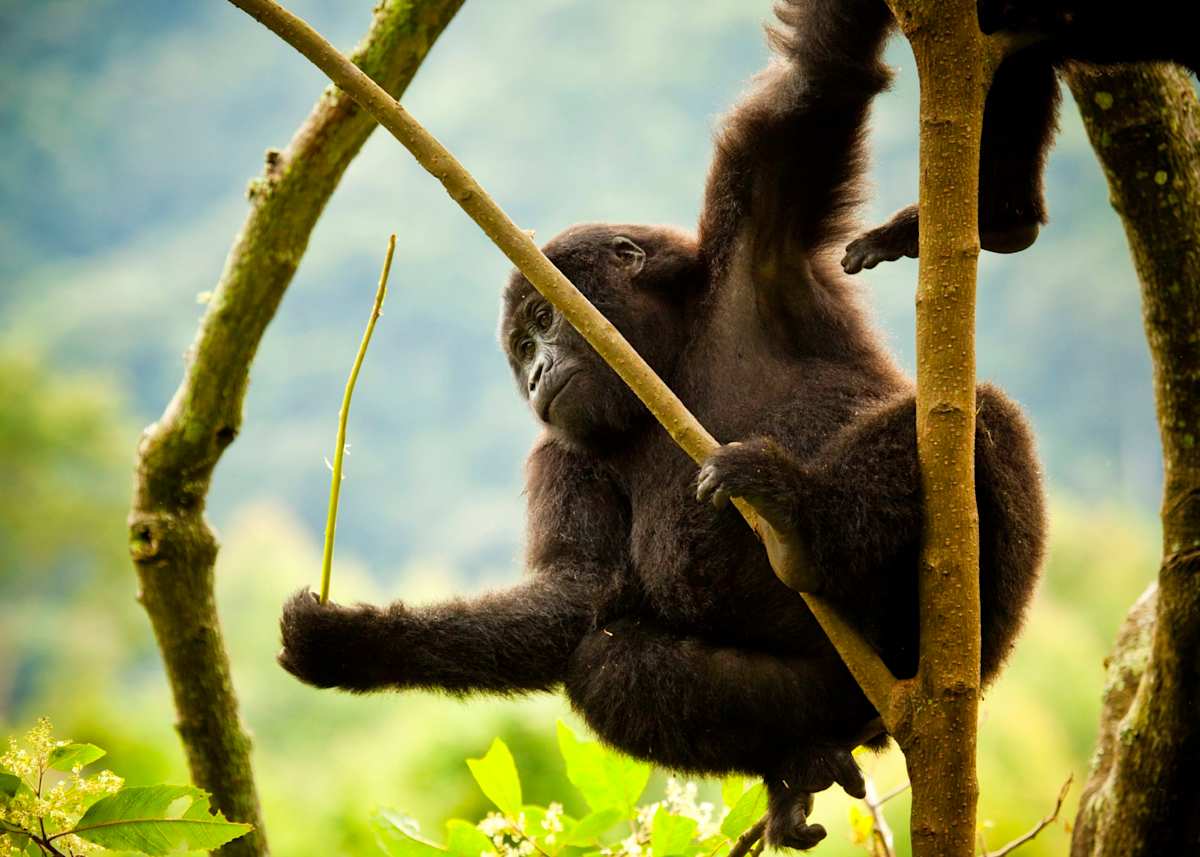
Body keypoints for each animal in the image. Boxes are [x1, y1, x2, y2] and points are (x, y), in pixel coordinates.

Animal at [278, 0, 1046, 849]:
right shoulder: (562, 453)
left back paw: (807, 521)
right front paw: (358, 645)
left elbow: (820, 73)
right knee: (610, 666)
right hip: (832, 694)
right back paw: (796, 758)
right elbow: (579, 597)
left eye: (543, 321)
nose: (535, 376)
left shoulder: (756, 233)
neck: (666, 358)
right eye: (521, 350)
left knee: (983, 424)